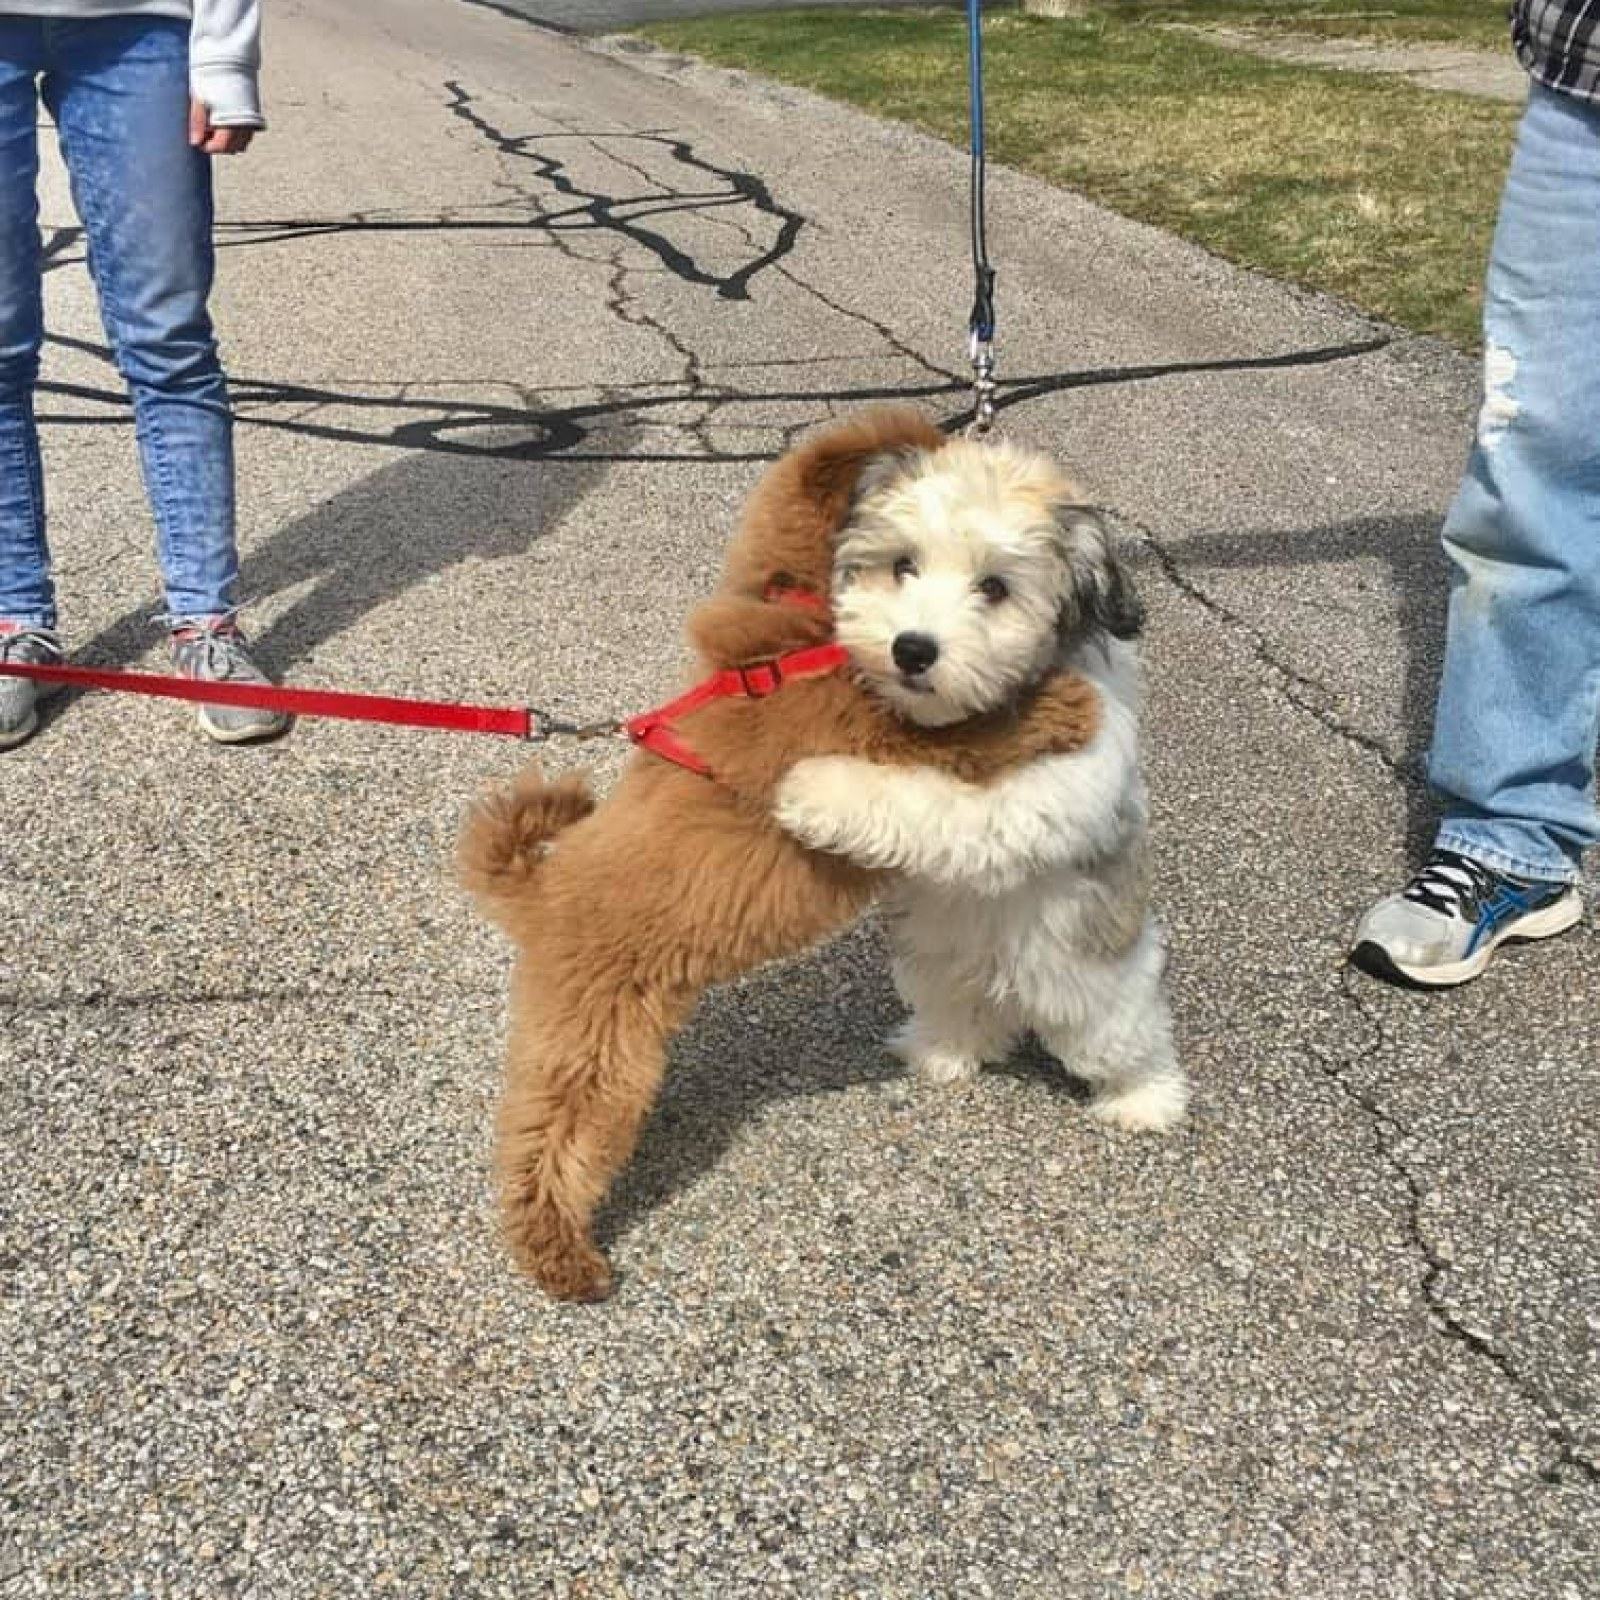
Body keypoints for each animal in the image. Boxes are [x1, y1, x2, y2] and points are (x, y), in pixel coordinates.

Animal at [457, 409, 1094, 1299]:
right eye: (908, 559)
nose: (913, 646)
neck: (790, 634)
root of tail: (539, 890)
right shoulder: (880, 735)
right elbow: (973, 732)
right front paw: (1062, 703)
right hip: (597, 1044)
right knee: (551, 1143)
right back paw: (562, 1256)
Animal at [774, 438, 1190, 1132]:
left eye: (994, 587)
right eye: (903, 565)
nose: (912, 649)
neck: (980, 715)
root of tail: (1009, 985)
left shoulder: (1041, 791)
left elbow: (932, 802)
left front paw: (815, 789)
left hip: (1095, 984)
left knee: (1126, 1038)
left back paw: (1145, 1099)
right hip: (938, 965)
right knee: (962, 1013)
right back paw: (942, 1051)